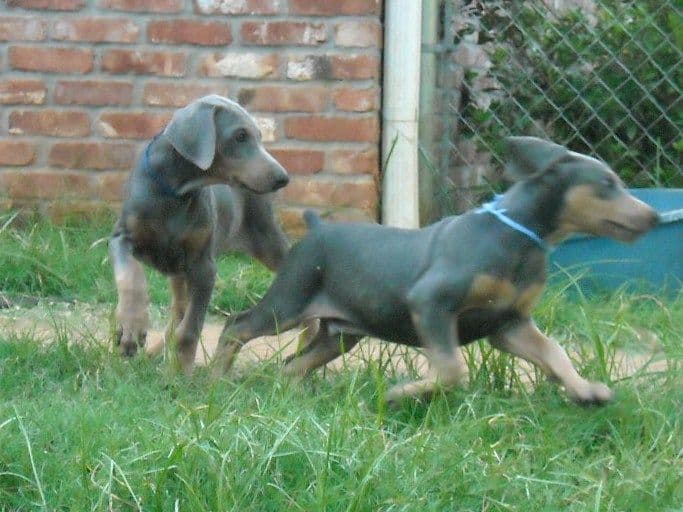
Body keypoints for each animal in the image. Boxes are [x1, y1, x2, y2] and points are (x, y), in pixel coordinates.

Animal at [111, 94, 292, 374]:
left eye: (260, 136)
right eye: (240, 136)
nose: (283, 178)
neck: (176, 193)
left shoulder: (203, 267)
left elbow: (191, 328)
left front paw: (181, 372)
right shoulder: (122, 237)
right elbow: (131, 276)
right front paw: (131, 327)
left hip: (265, 237)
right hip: (178, 270)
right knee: (177, 310)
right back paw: (151, 355)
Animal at [212, 138, 656, 406]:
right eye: (607, 184)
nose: (652, 217)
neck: (520, 238)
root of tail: (316, 227)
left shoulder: (509, 323)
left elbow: (555, 352)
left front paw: (584, 390)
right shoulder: (432, 303)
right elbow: (452, 368)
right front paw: (401, 394)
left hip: (340, 334)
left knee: (293, 363)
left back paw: (291, 396)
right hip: (289, 300)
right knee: (237, 326)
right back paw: (216, 379)